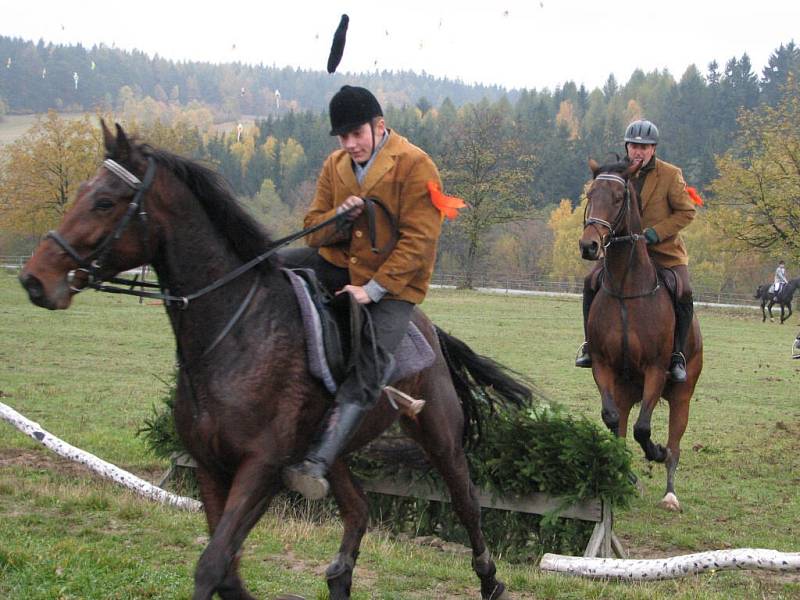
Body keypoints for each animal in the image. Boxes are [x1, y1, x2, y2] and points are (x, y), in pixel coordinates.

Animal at [18, 123, 528, 600]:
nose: (34, 279)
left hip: (439, 433)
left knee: (466, 503)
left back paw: (490, 581)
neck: (236, 330)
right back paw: (339, 576)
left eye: (104, 202)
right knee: (358, 508)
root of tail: (429, 328)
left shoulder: (260, 468)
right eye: (82, 194)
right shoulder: (210, 466)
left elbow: (212, 564)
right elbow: (226, 570)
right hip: (333, 452)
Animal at [580, 158, 704, 510]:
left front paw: (656, 452)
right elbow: (612, 420)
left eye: (619, 198)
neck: (626, 288)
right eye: (591, 194)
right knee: (620, 420)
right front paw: (629, 476)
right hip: (625, 388)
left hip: (682, 394)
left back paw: (670, 491)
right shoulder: (603, 366)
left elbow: (643, 428)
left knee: (675, 442)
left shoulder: (655, 369)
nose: (589, 245)